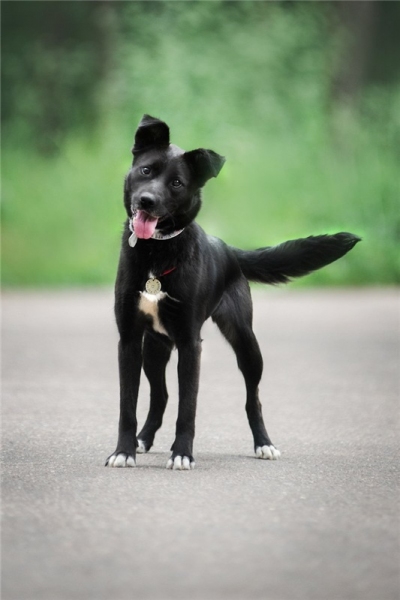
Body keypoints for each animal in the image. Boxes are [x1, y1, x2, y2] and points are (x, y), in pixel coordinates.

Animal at [105, 114, 360, 470]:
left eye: (177, 183)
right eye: (146, 170)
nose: (147, 202)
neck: (156, 254)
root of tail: (230, 251)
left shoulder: (191, 344)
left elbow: (188, 407)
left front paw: (182, 453)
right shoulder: (129, 340)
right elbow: (127, 404)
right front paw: (123, 451)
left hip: (247, 344)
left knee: (253, 400)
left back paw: (264, 444)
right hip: (155, 347)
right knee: (162, 395)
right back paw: (144, 438)